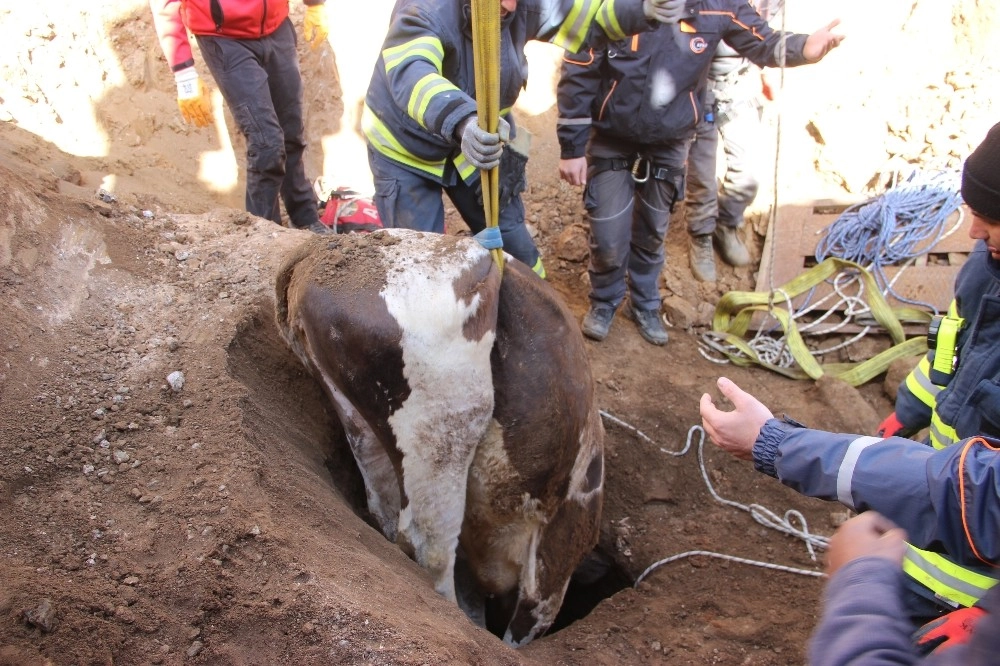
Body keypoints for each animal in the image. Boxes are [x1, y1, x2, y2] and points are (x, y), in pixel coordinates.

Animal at [272, 228, 600, 644]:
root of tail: (317, 251)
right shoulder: (553, 559)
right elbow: (527, 617)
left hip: (357, 417)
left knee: (383, 504)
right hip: (446, 429)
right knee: (429, 545)